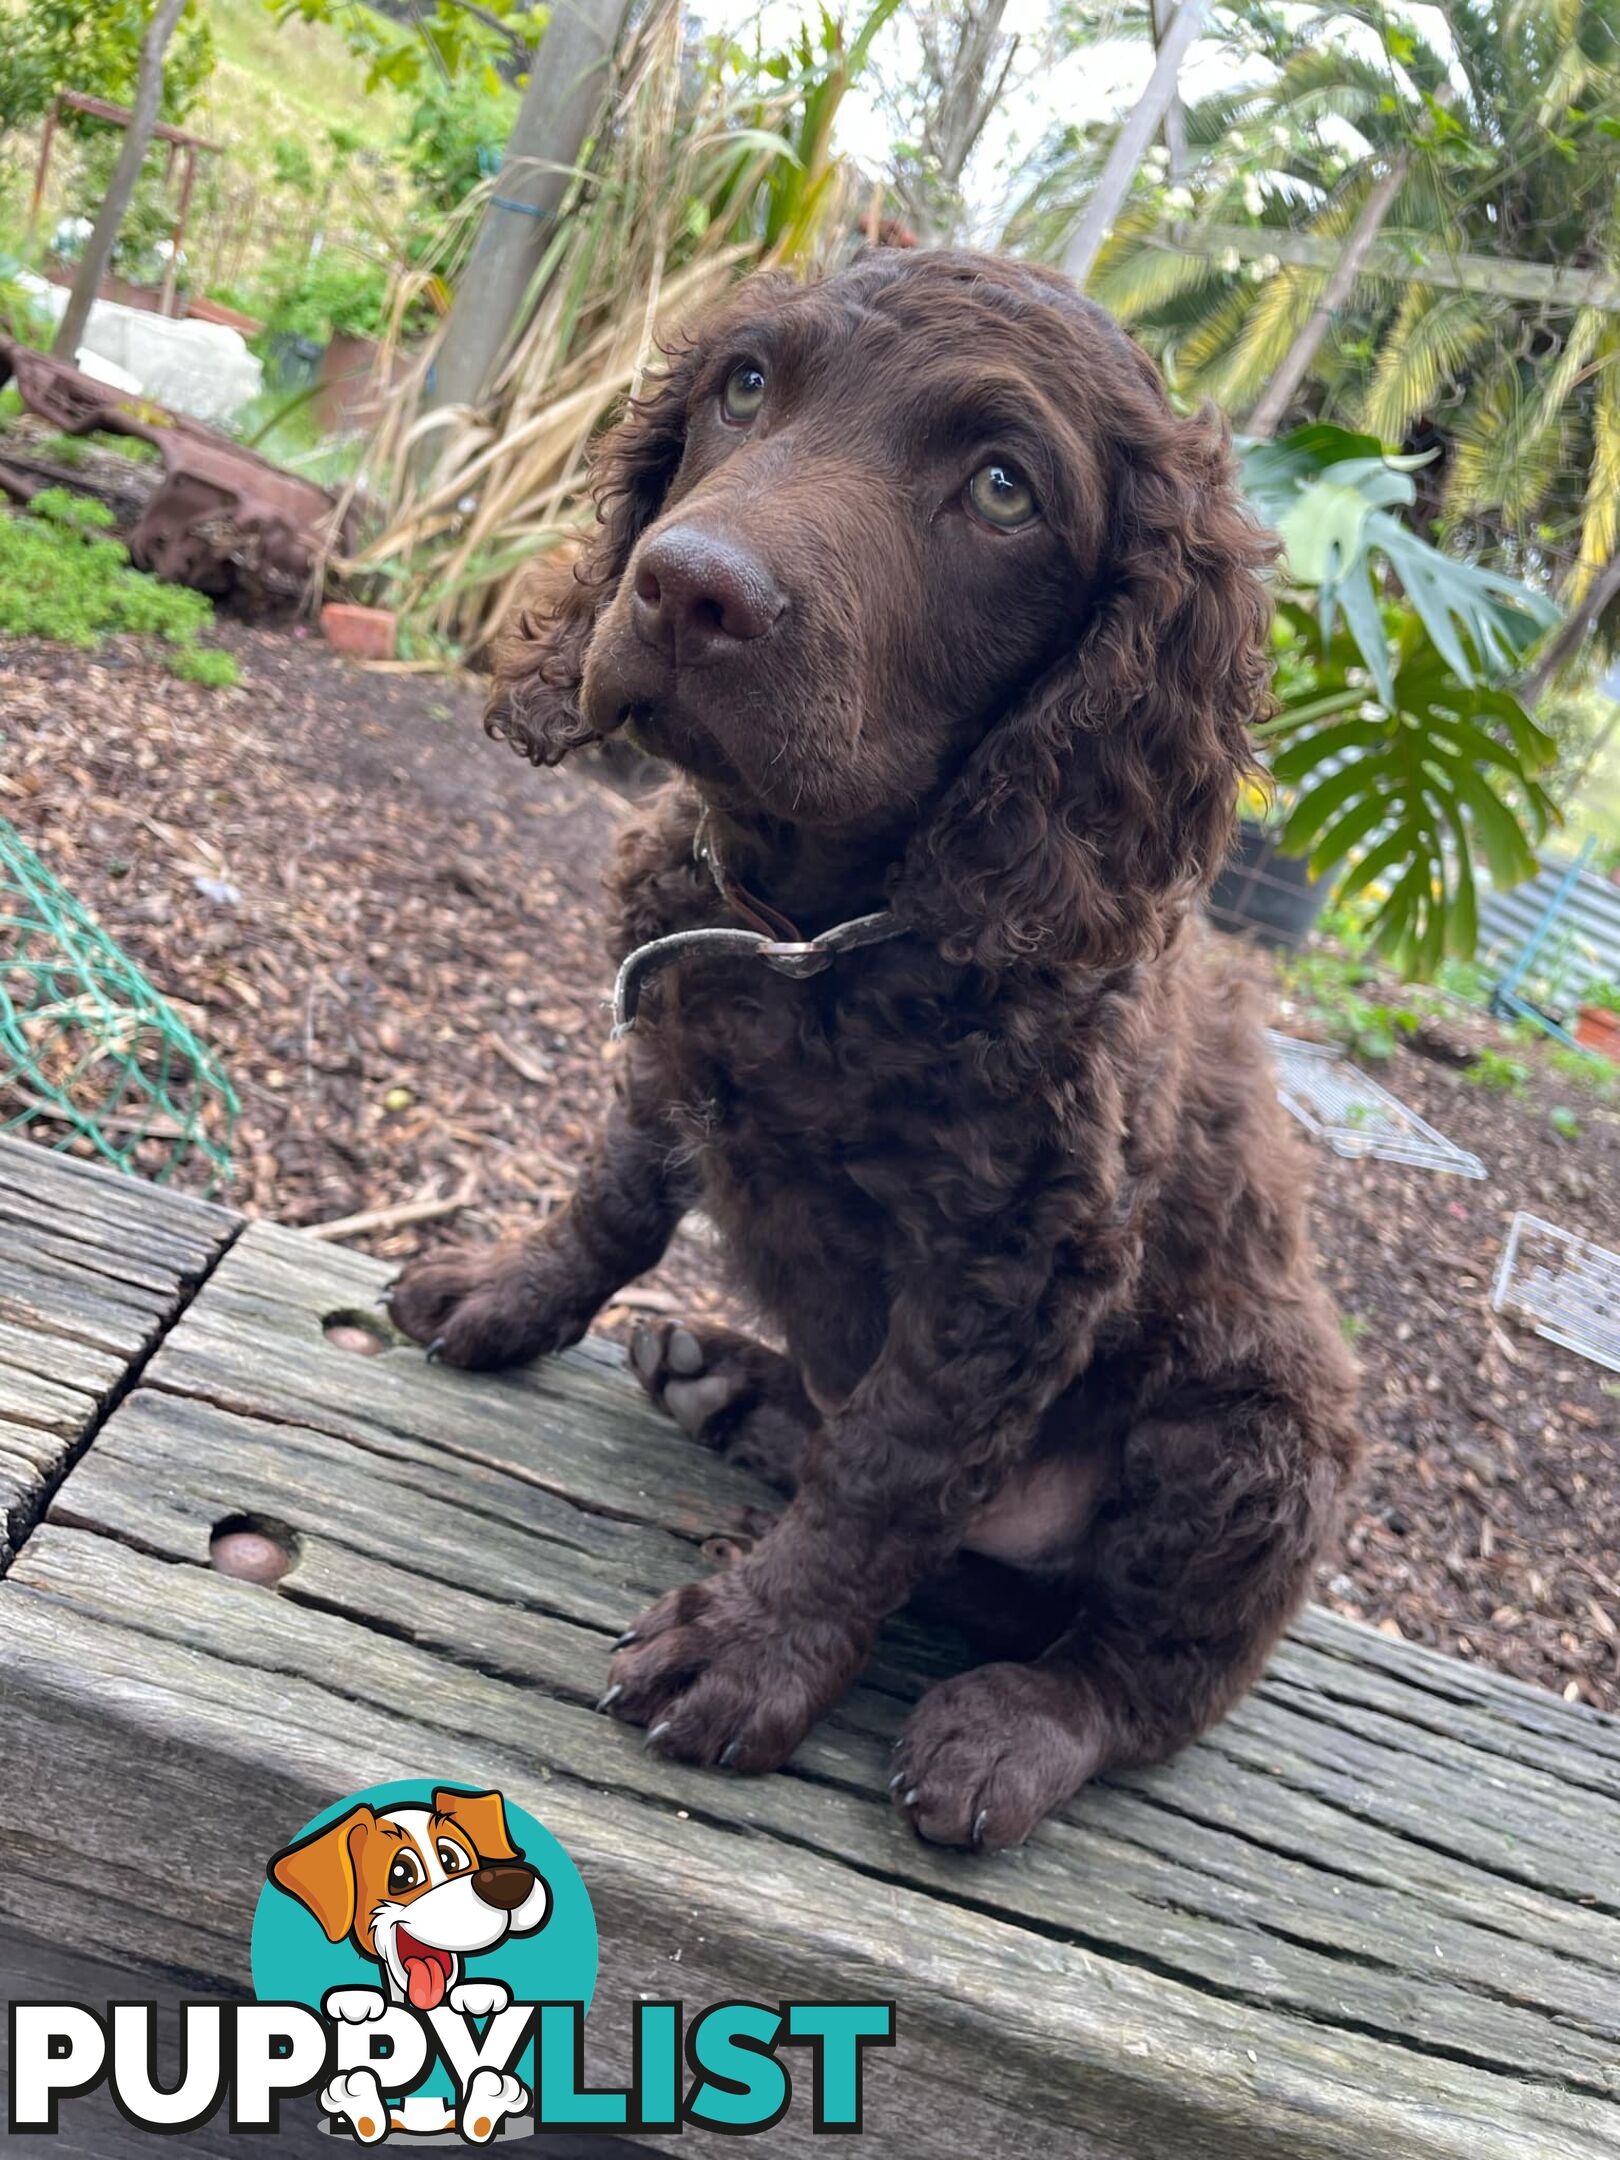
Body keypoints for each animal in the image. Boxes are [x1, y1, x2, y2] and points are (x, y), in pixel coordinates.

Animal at [393, 248, 1356, 1840]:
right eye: (745, 386)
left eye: (1004, 489)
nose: (686, 587)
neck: (821, 930)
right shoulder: (673, 1045)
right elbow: (612, 1201)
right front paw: (508, 1291)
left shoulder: (1021, 1261)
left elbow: (890, 1470)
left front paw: (751, 1650)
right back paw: (732, 1387)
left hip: (1254, 1436)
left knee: (1144, 1674)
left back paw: (1015, 1723)